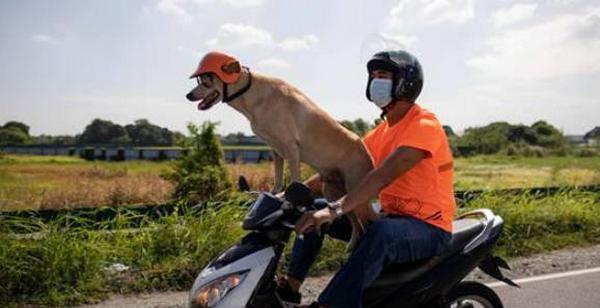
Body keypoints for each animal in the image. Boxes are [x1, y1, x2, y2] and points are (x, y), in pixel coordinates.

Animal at [185, 51, 378, 237]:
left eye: (208, 81)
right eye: (202, 80)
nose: (188, 95)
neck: (252, 95)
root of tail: (367, 151)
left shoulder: (291, 147)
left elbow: (294, 180)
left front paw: (288, 203)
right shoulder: (276, 149)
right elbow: (278, 177)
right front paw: (274, 195)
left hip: (356, 194)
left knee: (368, 224)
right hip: (333, 193)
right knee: (356, 226)